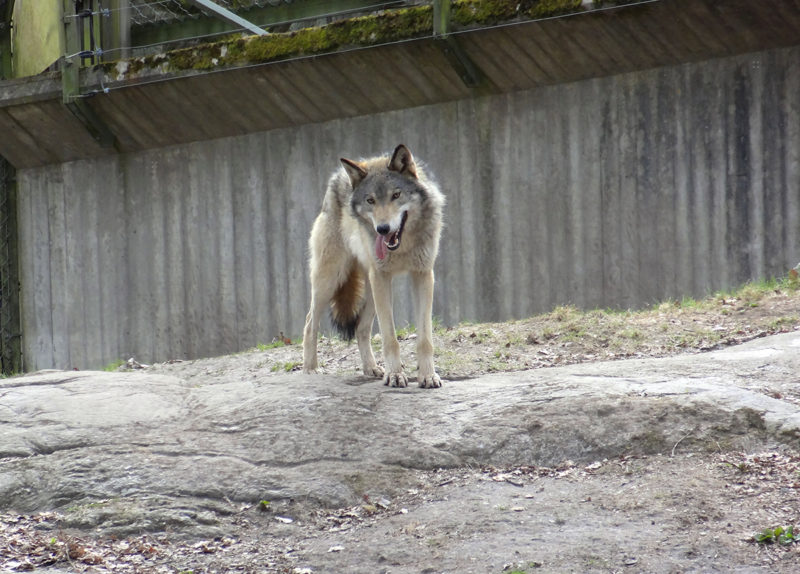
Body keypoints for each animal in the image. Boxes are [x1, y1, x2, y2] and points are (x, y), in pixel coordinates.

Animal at [304, 144, 446, 390]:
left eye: (396, 195)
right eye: (370, 200)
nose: (383, 228)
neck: (402, 246)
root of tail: (338, 177)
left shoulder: (423, 275)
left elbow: (425, 339)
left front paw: (428, 376)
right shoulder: (382, 277)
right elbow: (390, 339)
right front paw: (395, 375)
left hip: (371, 288)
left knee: (361, 329)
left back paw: (371, 368)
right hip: (331, 281)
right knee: (309, 323)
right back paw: (310, 369)